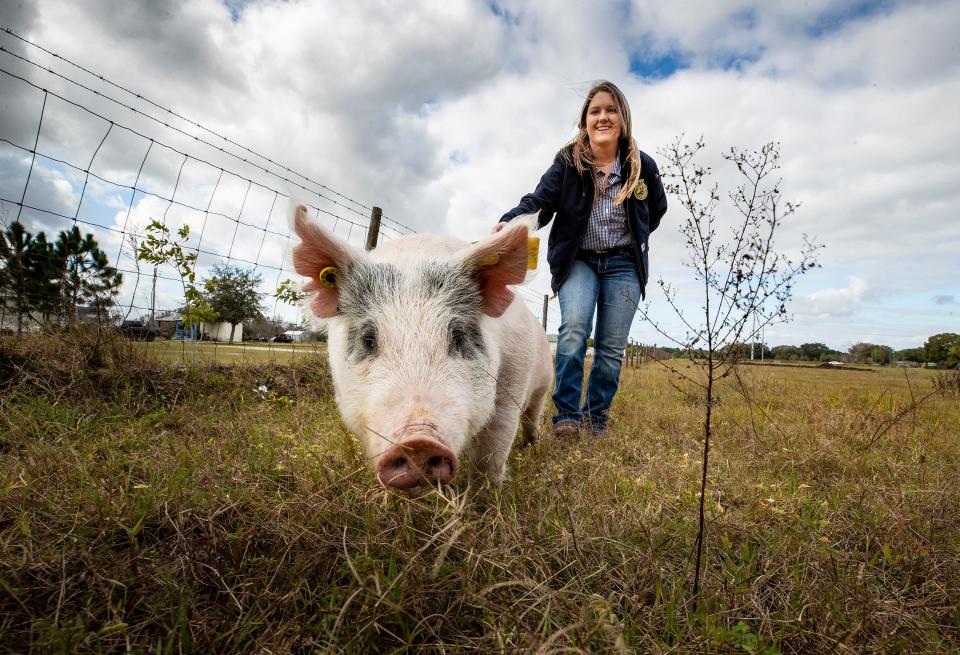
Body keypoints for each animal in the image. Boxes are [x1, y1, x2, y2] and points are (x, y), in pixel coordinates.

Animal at [288, 208, 552, 490]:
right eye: (368, 339)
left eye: (458, 336)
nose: (418, 443)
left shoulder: (513, 381)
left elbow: (492, 452)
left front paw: (484, 497)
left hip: (542, 385)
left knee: (532, 416)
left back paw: (531, 446)